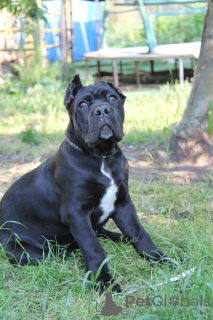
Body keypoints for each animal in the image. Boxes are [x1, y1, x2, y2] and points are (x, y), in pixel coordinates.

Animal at [0, 74, 169, 292]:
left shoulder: (123, 204)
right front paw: (104, 281)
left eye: (112, 98)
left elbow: (139, 233)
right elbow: (92, 246)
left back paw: (121, 239)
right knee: (67, 248)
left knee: (102, 232)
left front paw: (160, 258)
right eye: (82, 104)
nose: (102, 110)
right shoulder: (76, 213)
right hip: (28, 251)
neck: (102, 157)